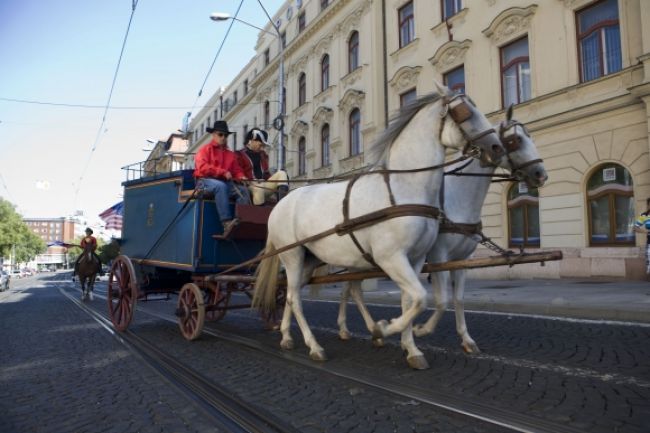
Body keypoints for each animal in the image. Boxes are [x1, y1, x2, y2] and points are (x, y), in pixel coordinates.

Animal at [251, 87, 504, 368]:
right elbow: (420, 297)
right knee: (295, 298)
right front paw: (382, 329)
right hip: (292, 255)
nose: (497, 147)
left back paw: (286, 336)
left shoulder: (415, 259)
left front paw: (411, 348)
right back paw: (314, 345)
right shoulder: (390, 258)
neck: (403, 188)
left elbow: (411, 300)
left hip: (309, 259)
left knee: (290, 295)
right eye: (465, 112)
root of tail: (280, 203)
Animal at [336, 106, 544, 352]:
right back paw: (355, 328)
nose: (541, 173)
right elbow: (442, 299)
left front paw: (465, 338)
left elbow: (458, 299)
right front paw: (420, 330)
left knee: (349, 289)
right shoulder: (438, 256)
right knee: (351, 289)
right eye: (515, 140)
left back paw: (357, 329)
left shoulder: (463, 259)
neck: (459, 198)